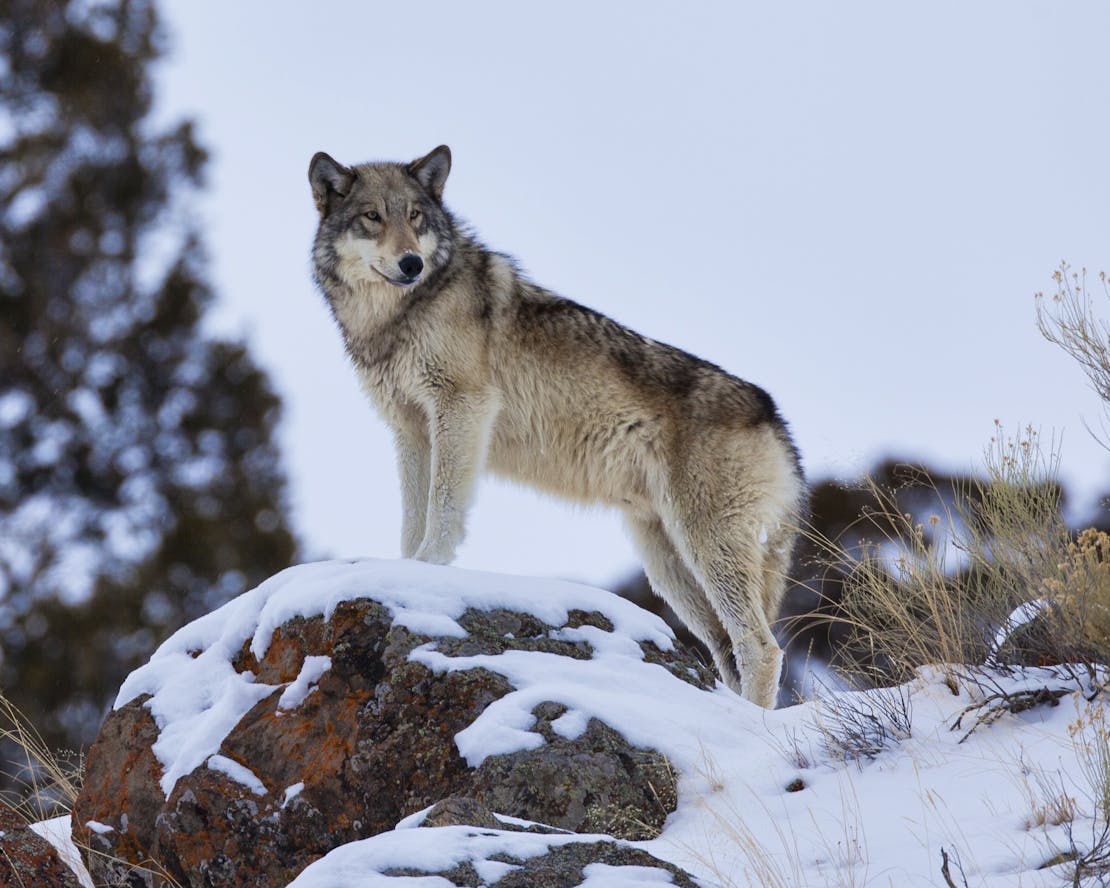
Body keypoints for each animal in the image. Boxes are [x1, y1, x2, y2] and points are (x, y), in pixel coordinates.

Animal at [308, 147, 803, 705]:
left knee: (760, 647)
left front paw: (429, 568)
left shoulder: (462, 406)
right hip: (667, 564)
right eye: (373, 217)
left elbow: (442, 508)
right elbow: (412, 517)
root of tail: (775, 417)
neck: (399, 316)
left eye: (415, 217)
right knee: (725, 646)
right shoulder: (410, 429)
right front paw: (404, 570)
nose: (411, 263)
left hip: (706, 547)